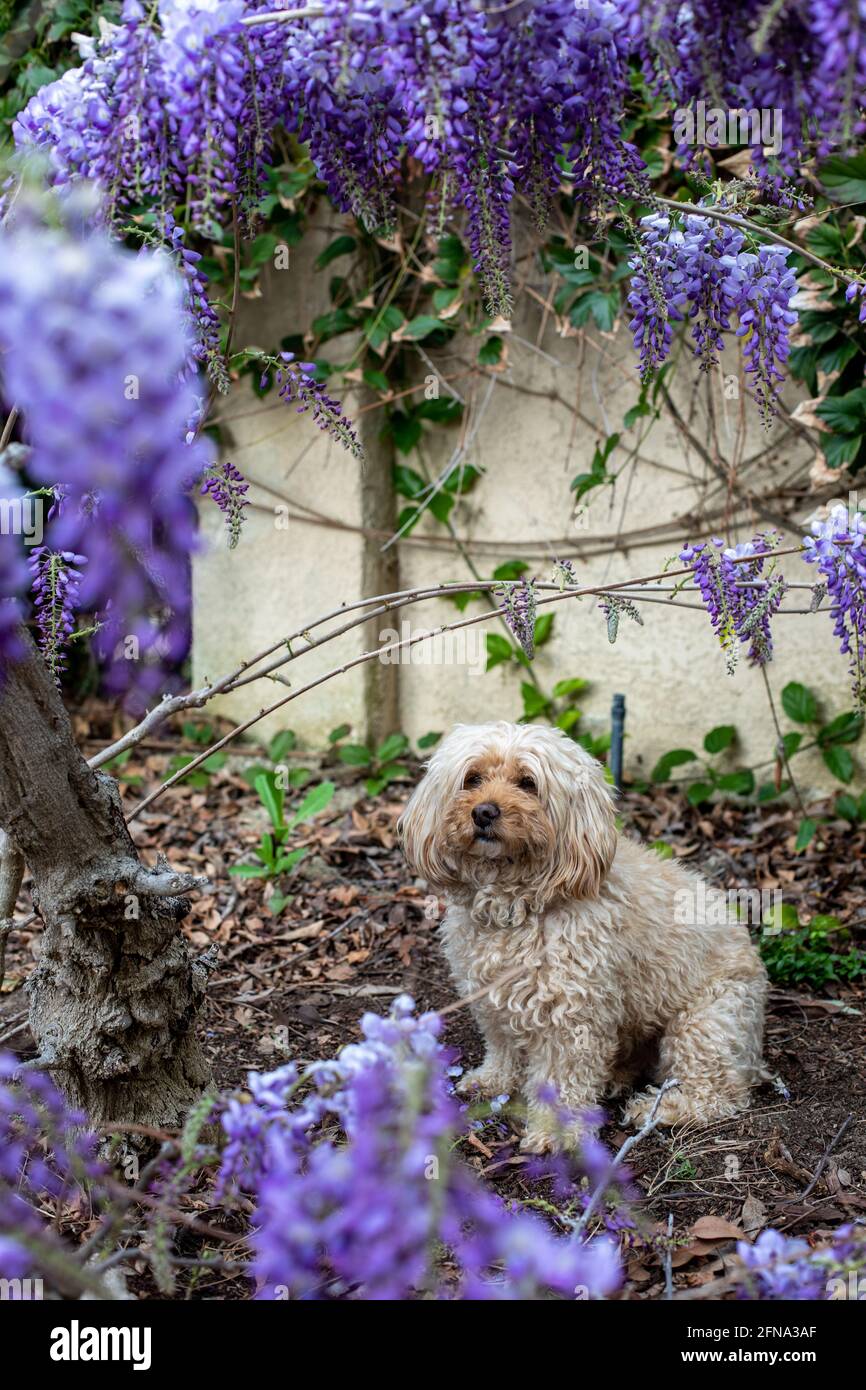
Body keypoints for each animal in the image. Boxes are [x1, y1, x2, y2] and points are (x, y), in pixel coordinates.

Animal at [400, 717, 767, 1150]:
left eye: (528, 783)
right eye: (472, 778)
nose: (483, 812)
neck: (520, 905)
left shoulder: (572, 1015)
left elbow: (563, 1077)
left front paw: (554, 1133)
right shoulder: (493, 1001)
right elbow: (504, 1047)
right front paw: (493, 1081)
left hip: (706, 1022)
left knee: (719, 1093)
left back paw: (659, 1108)